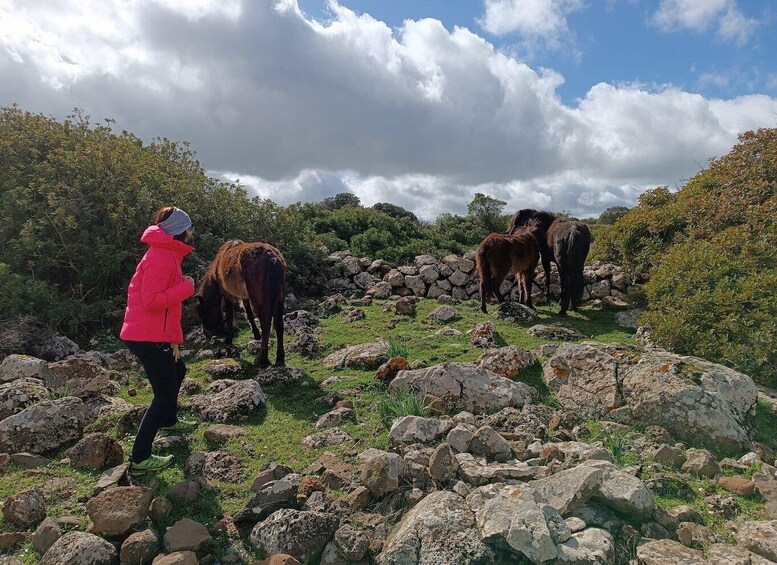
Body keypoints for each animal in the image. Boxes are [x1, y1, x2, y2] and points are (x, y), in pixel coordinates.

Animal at [199, 238, 286, 366]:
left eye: (203, 314)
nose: (207, 333)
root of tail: (272, 258)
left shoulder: (227, 293)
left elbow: (229, 315)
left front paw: (228, 339)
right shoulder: (244, 296)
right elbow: (249, 314)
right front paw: (256, 334)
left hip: (259, 300)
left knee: (266, 324)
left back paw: (261, 359)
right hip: (279, 297)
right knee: (279, 324)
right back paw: (279, 359)